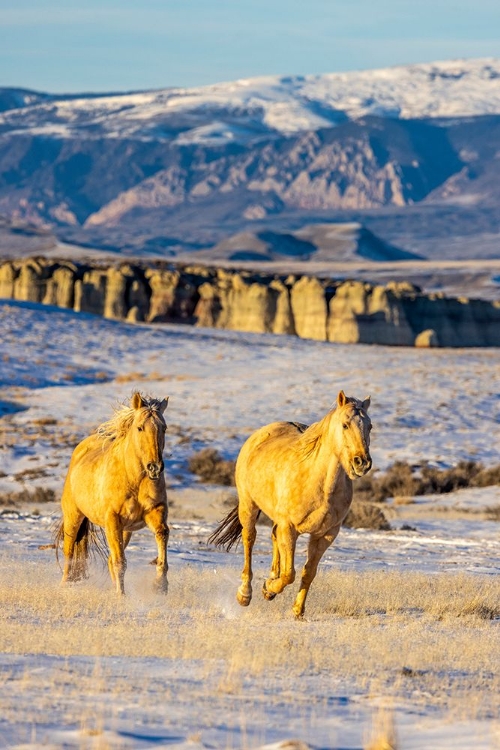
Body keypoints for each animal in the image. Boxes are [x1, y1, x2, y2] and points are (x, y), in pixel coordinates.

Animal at [54, 396, 169, 596]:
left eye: (164, 428)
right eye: (140, 427)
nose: (155, 468)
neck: (134, 479)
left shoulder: (155, 512)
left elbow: (162, 535)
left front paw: (160, 586)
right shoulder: (113, 521)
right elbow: (120, 562)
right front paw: (120, 596)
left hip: (126, 530)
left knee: (108, 558)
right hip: (73, 517)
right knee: (69, 553)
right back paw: (64, 585)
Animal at [208, 390, 372, 620]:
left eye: (370, 426)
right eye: (345, 425)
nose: (362, 463)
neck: (321, 486)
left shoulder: (326, 534)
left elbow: (308, 572)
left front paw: (296, 609)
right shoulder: (290, 528)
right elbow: (289, 574)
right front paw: (269, 589)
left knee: (274, 536)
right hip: (248, 506)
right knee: (249, 540)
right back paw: (245, 594)